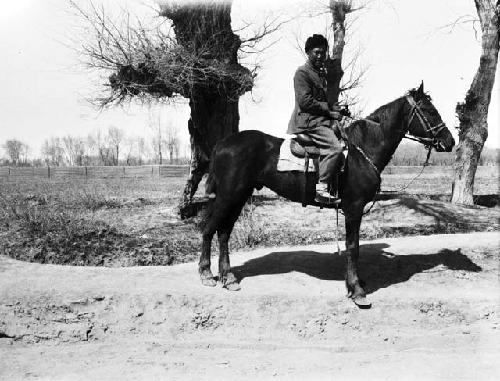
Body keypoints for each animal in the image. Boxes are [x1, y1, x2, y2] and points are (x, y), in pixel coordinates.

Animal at [197, 82, 456, 306]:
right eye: (429, 110)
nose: (450, 141)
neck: (361, 151)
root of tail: (223, 144)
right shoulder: (353, 209)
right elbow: (353, 247)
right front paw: (357, 290)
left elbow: (354, 247)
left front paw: (354, 284)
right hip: (228, 196)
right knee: (210, 229)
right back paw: (206, 274)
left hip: (239, 196)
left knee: (224, 232)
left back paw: (228, 277)